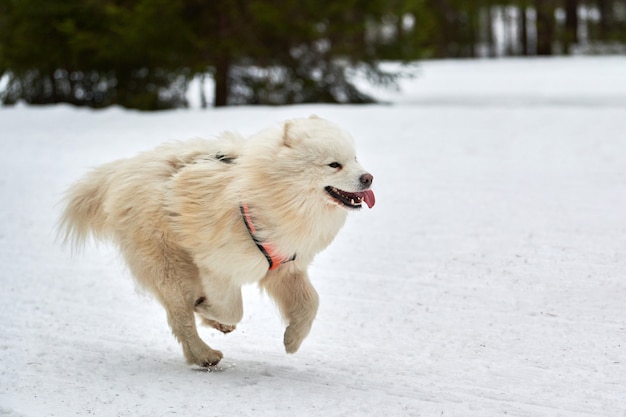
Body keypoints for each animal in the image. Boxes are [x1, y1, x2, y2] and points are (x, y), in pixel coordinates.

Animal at [59, 115, 370, 366]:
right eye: (334, 164)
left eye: (355, 158)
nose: (368, 178)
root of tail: (121, 173)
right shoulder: (218, 266)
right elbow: (233, 309)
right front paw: (207, 310)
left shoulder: (283, 266)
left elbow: (310, 302)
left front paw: (292, 340)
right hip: (170, 264)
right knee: (180, 318)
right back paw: (204, 354)